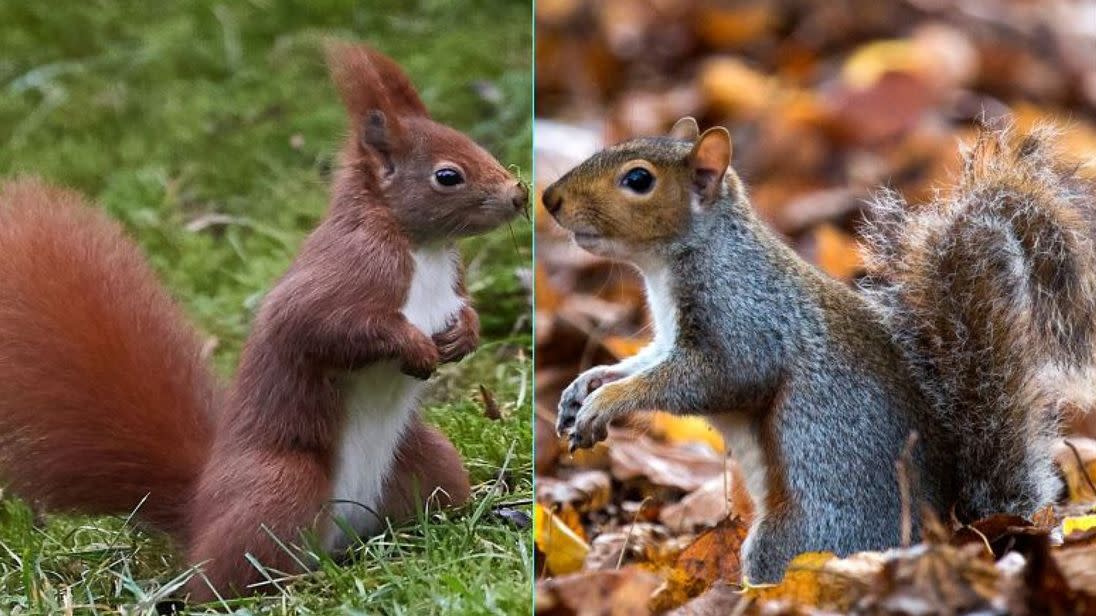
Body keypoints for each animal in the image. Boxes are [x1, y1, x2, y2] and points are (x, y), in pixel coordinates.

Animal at [0, 43, 526, 600]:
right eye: (448, 175)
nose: (518, 194)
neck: (422, 249)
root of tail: (200, 515)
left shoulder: (450, 283)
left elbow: (462, 307)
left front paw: (465, 334)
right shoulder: (344, 276)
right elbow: (323, 327)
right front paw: (414, 346)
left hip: (427, 459)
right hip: (280, 488)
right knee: (228, 577)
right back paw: (290, 583)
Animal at [539, 117, 1096, 583]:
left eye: (638, 180)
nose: (549, 199)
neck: (680, 259)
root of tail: (955, 532)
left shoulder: (747, 320)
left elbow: (717, 378)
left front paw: (606, 403)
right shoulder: (671, 339)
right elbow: (645, 364)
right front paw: (589, 385)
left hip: (800, 537)